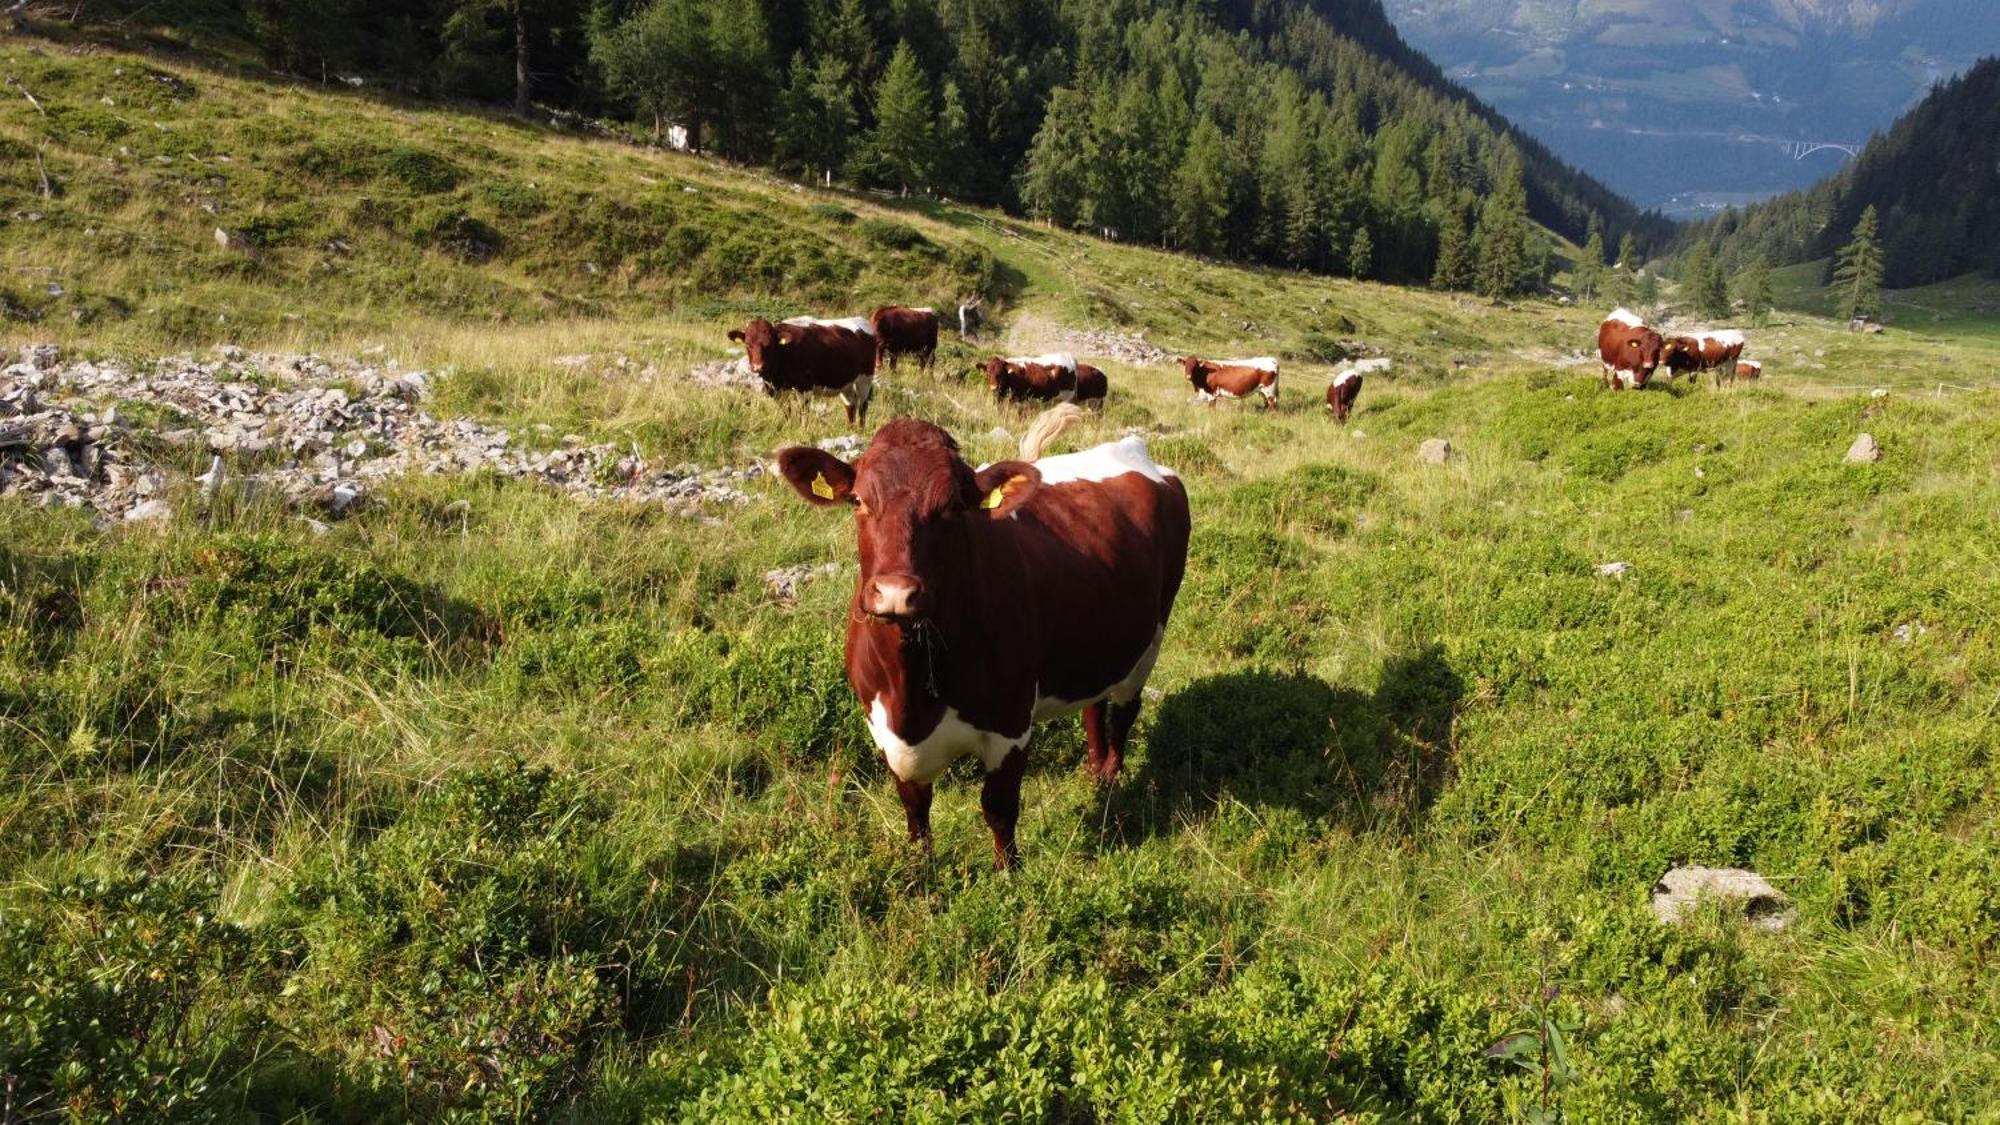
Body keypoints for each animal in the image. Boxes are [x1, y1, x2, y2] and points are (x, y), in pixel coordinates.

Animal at [724, 312, 872, 422]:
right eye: (748, 344)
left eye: (769, 344)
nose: (758, 366)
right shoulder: (775, 391)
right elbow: (787, 412)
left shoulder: (804, 388)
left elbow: (803, 414)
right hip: (845, 383)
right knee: (850, 405)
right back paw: (850, 428)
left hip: (865, 378)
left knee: (863, 406)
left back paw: (860, 429)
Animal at [776, 412, 1184, 868]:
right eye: (858, 501)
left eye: (953, 505)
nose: (896, 592)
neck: (912, 687)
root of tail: (1128, 448)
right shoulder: (883, 730)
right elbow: (915, 808)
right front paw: (922, 871)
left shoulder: (1011, 724)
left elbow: (999, 807)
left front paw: (1009, 871)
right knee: (1093, 706)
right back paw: (1095, 774)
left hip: (1150, 639)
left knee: (1124, 712)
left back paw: (1111, 777)